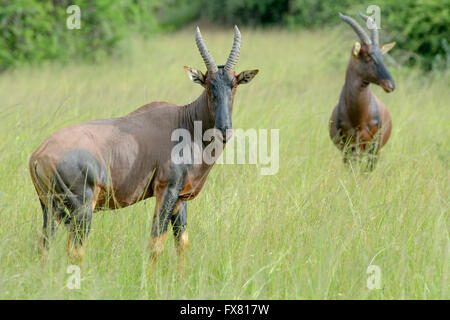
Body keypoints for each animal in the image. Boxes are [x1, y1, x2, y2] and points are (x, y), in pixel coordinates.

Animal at [29, 26, 258, 262]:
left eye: (233, 85)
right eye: (208, 85)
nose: (224, 129)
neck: (184, 122)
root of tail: (38, 156)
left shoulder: (180, 198)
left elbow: (182, 243)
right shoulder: (166, 190)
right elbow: (156, 243)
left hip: (49, 206)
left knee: (43, 245)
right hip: (82, 206)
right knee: (75, 249)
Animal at [328, 13, 396, 170]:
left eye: (382, 56)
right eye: (368, 56)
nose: (391, 85)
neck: (359, 117)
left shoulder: (373, 148)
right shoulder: (347, 147)